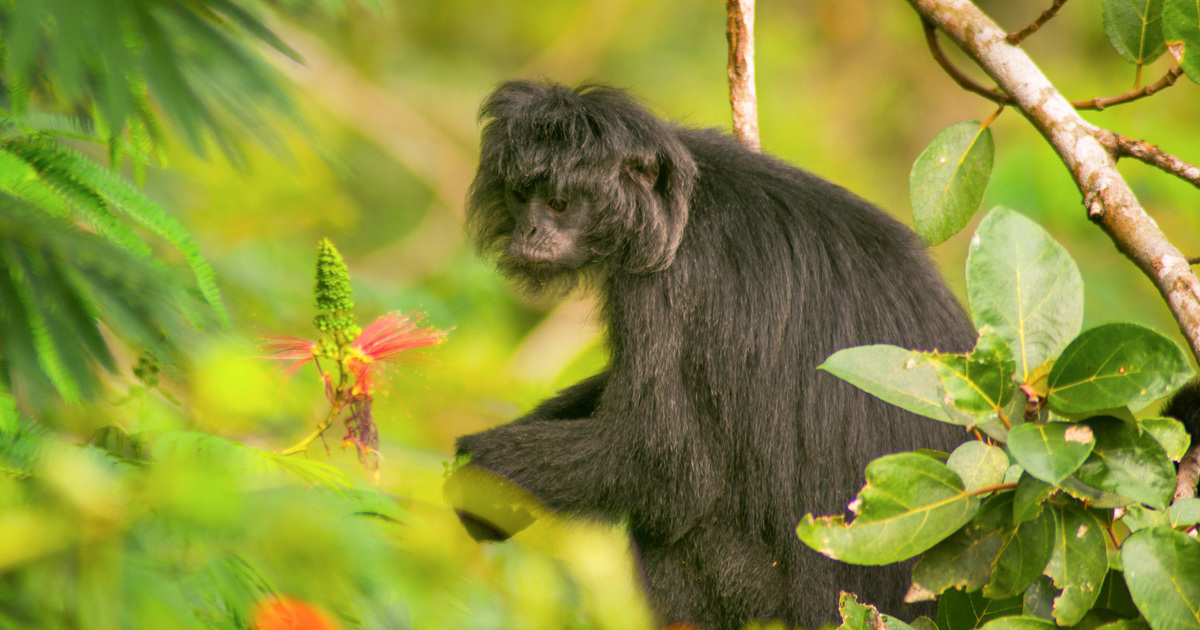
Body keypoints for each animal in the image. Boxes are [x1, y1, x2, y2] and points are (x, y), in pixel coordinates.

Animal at [449, 80, 977, 630]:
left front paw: (480, 467)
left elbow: (670, 469)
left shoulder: (668, 279)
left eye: (557, 203)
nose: (528, 233)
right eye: (520, 197)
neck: (684, 201)